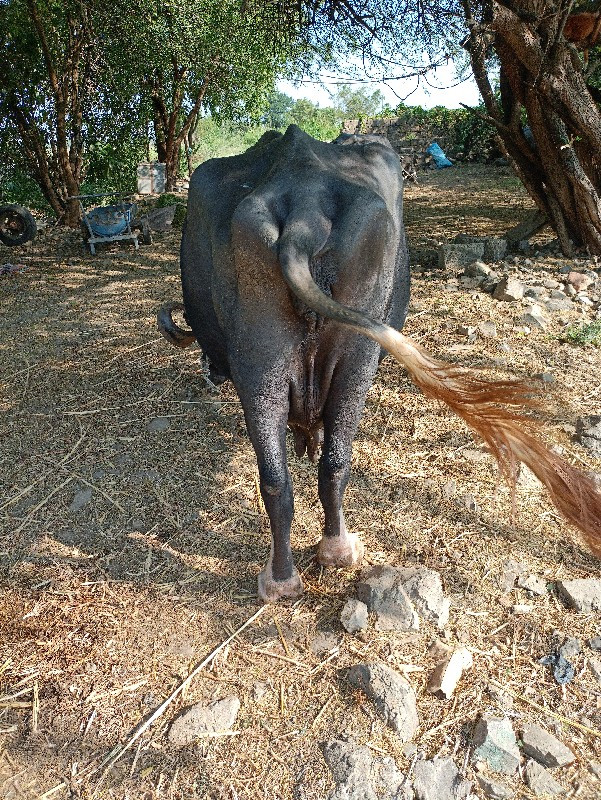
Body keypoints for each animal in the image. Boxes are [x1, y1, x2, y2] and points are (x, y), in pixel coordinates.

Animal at [158, 123, 600, 600]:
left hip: (265, 367)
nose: (209, 371)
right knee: (333, 461)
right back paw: (339, 549)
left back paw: (286, 576)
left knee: (287, 476)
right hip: (352, 359)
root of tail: (303, 216)